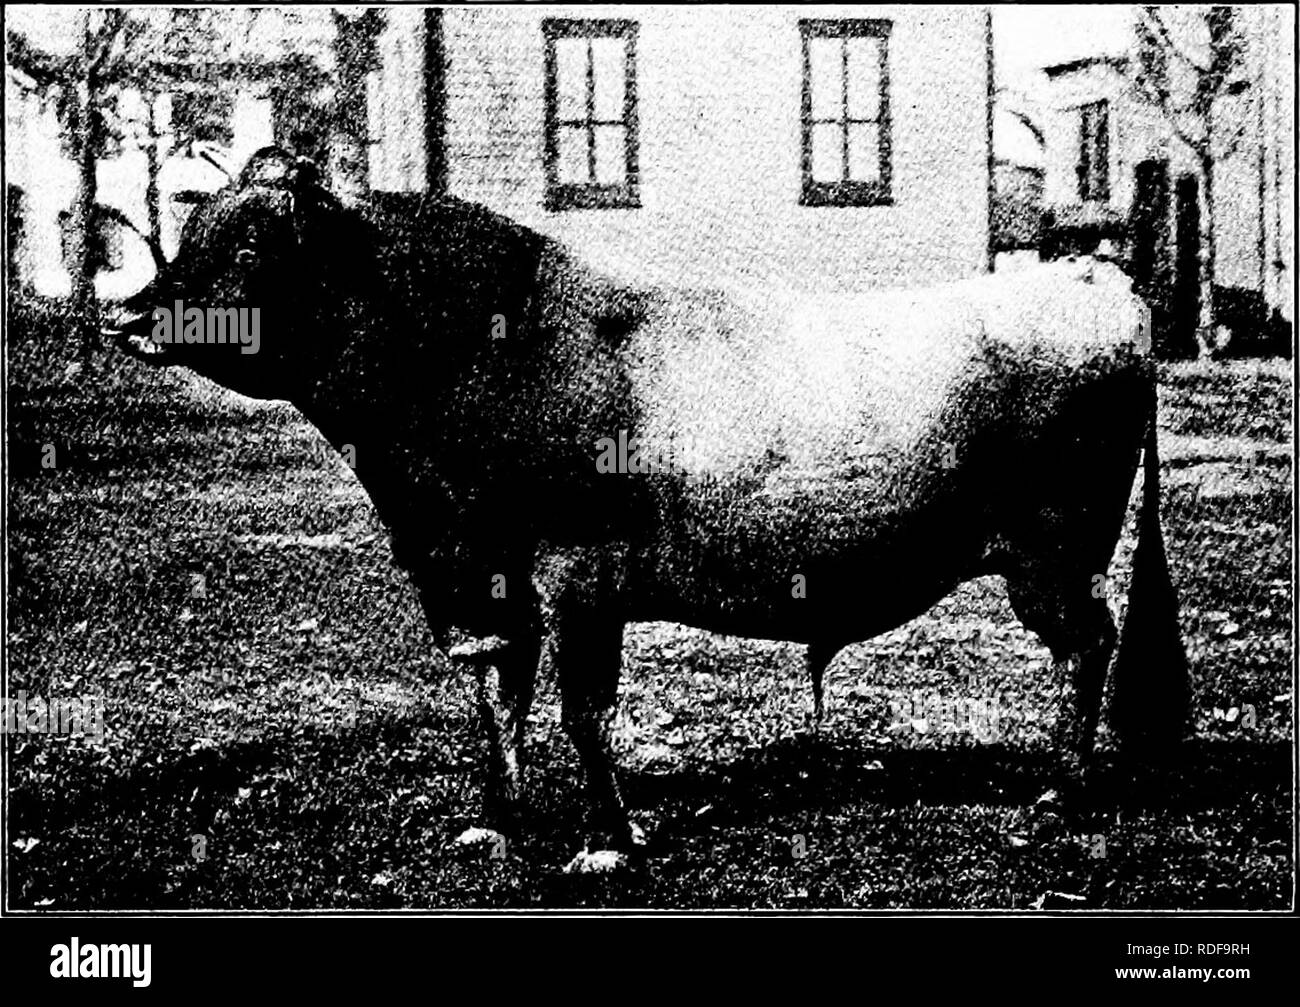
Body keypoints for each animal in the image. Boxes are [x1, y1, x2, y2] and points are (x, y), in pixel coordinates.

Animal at [109, 145, 1190, 867]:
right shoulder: (485, 575)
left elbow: (582, 706)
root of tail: (1089, 274)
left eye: (254, 243)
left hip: (1055, 550)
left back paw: (1060, 787)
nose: (130, 314)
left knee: (1085, 645)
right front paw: (498, 819)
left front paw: (611, 835)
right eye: (196, 224)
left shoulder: (577, 570)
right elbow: (498, 694)